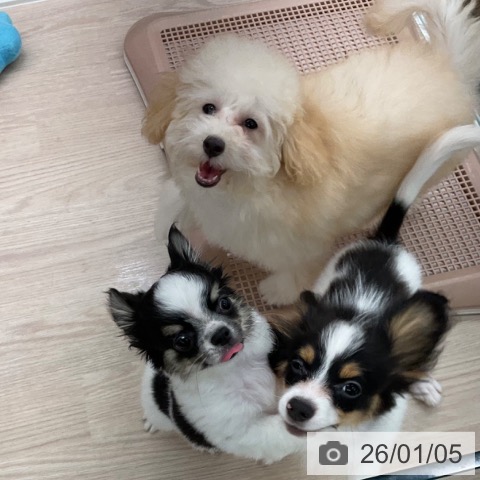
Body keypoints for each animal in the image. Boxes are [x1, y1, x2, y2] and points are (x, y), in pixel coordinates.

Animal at [107, 226, 305, 464]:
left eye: (224, 303)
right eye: (182, 340)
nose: (221, 333)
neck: (238, 367)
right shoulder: (242, 430)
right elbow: (283, 432)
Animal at [142, 0, 480, 305]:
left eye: (251, 124)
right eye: (208, 108)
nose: (212, 144)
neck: (250, 187)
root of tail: (449, 68)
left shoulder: (302, 248)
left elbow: (295, 272)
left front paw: (277, 292)